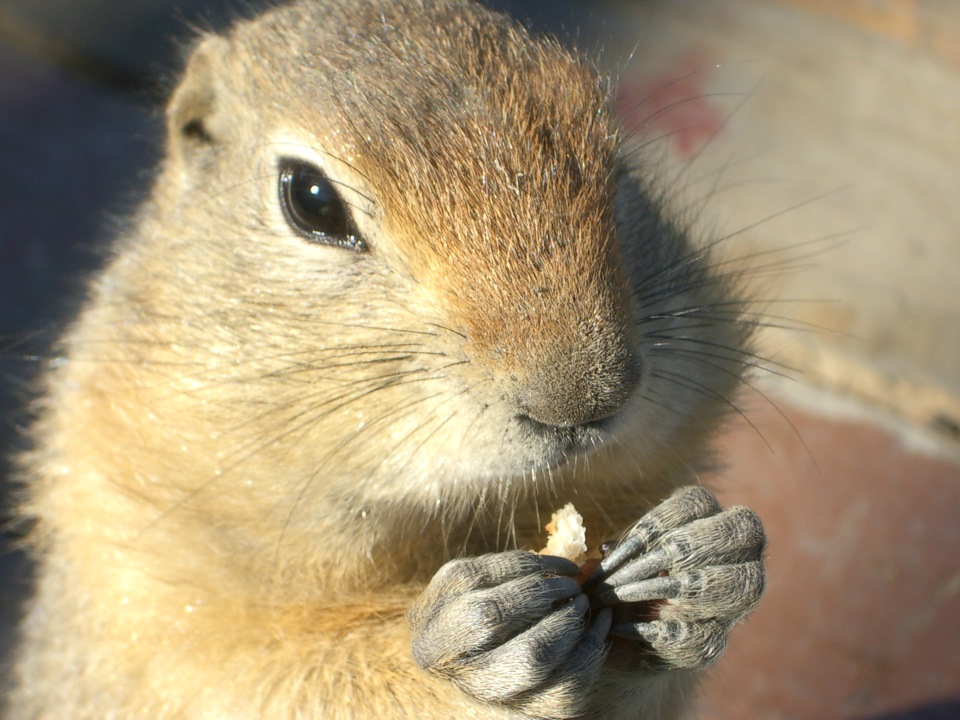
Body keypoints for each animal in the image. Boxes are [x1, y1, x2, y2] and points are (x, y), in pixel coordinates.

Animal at [9, 0, 764, 716]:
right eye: (310, 197)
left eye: (619, 167)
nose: (587, 399)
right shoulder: (140, 587)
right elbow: (268, 676)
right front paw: (466, 644)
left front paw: (708, 555)